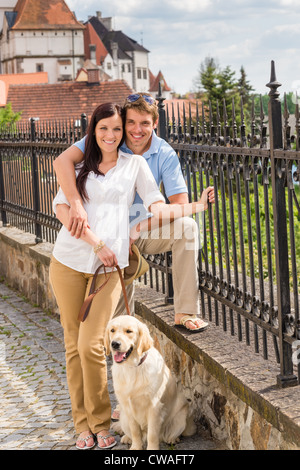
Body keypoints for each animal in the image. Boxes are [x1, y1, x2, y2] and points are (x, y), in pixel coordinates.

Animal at [104, 314, 196, 450]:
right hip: (123, 415)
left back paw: (173, 438)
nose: (115, 343)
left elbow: (152, 434)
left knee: (169, 433)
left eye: (129, 331)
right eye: (112, 330)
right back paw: (127, 438)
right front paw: (136, 446)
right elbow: (135, 431)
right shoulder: (127, 406)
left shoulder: (154, 406)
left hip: (181, 414)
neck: (133, 366)